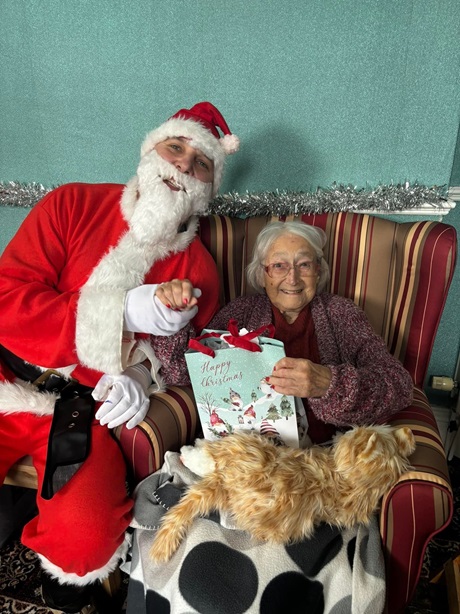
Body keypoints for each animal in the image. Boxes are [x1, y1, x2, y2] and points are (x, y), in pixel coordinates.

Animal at [150, 425, 415, 562]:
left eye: (353, 433)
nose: (341, 432)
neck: (351, 485)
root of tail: (226, 483)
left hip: (247, 444)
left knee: (209, 457)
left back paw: (189, 452)